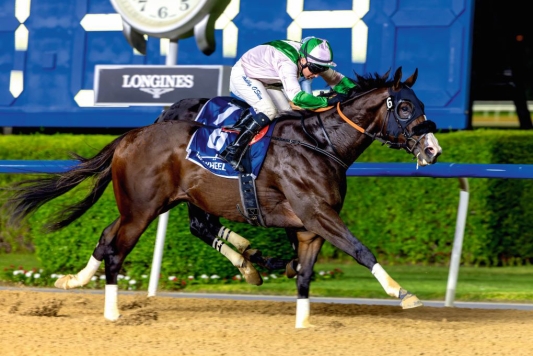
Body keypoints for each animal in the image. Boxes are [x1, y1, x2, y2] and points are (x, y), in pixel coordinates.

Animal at [2, 67, 440, 328]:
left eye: (420, 104)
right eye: (404, 106)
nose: (433, 149)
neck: (320, 144)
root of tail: (131, 135)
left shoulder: (309, 225)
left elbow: (304, 272)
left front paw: (303, 321)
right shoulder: (318, 214)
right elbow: (359, 249)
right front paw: (402, 293)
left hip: (146, 204)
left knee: (107, 237)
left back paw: (73, 280)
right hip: (142, 209)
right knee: (119, 249)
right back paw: (113, 312)